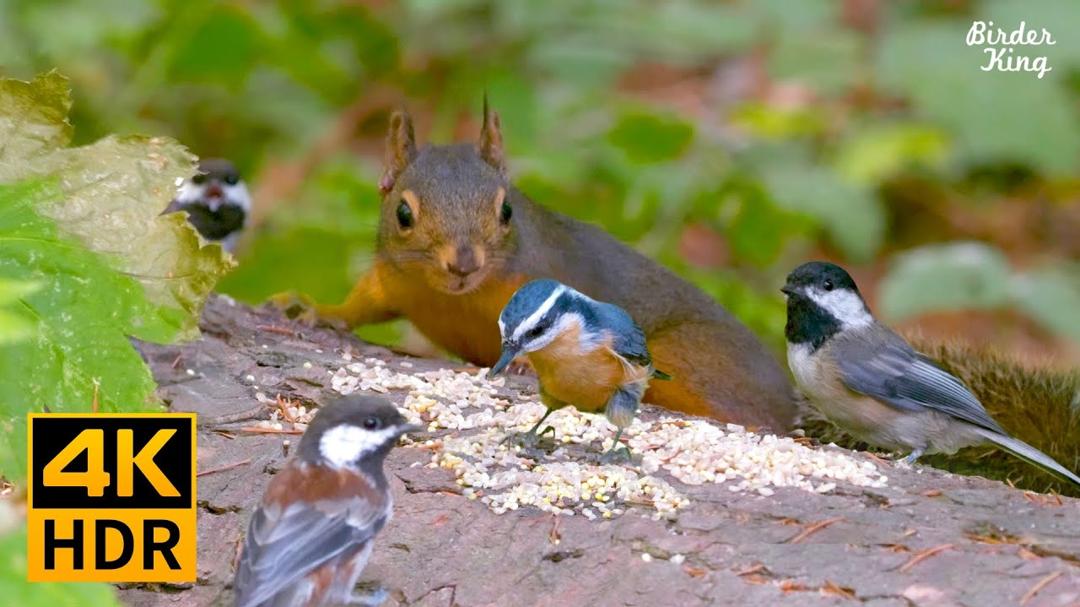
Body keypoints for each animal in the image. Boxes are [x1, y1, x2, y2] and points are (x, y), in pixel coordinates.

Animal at [274, 101, 798, 431]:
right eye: (403, 214)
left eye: (507, 210)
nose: (463, 264)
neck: (457, 297)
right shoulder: (394, 280)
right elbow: (364, 305)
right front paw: (317, 309)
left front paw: (528, 360)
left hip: (695, 359)